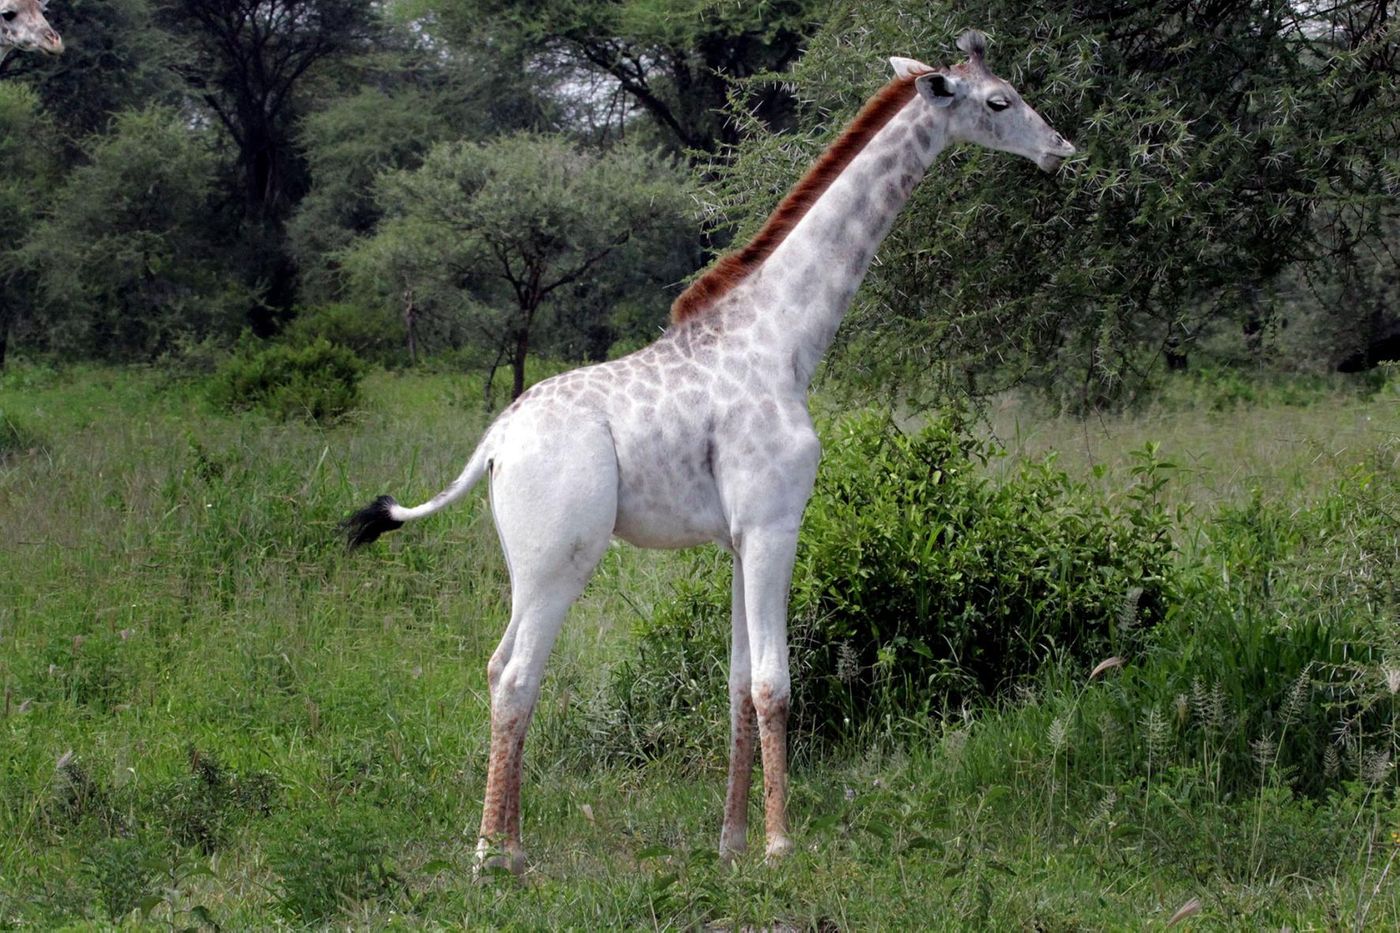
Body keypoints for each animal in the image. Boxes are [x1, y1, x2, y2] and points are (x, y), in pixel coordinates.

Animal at [347, 29, 1069, 874]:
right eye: (1000, 101)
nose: (1060, 149)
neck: (785, 341)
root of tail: (495, 440)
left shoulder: (735, 538)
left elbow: (732, 683)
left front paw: (730, 842)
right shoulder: (774, 524)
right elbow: (774, 682)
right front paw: (781, 845)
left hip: (525, 562)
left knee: (499, 666)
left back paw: (512, 845)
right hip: (561, 555)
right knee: (520, 673)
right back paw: (492, 857)